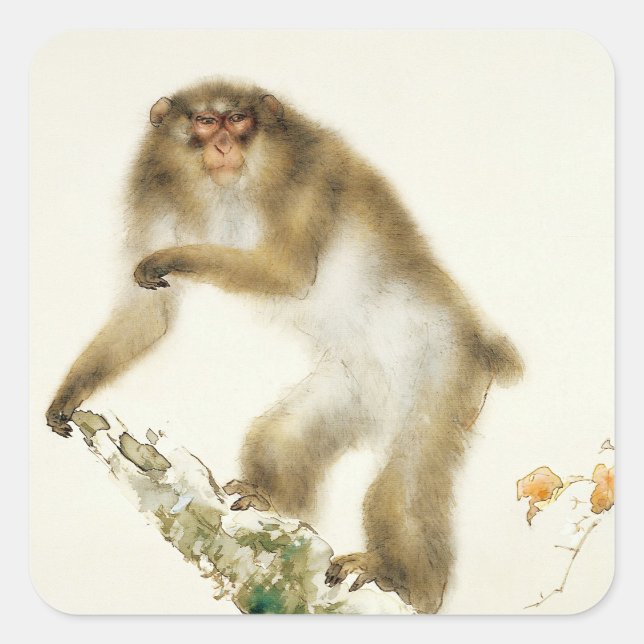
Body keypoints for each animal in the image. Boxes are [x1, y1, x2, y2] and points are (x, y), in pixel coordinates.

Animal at [46, 79, 523, 614]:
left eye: (238, 120)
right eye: (205, 122)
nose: (223, 145)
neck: (228, 187)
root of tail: (480, 341)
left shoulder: (307, 173)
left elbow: (287, 272)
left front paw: (171, 257)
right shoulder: (153, 188)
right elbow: (145, 317)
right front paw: (69, 394)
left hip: (444, 365)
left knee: (407, 481)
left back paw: (408, 583)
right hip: (356, 382)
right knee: (285, 435)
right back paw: (269, 499)